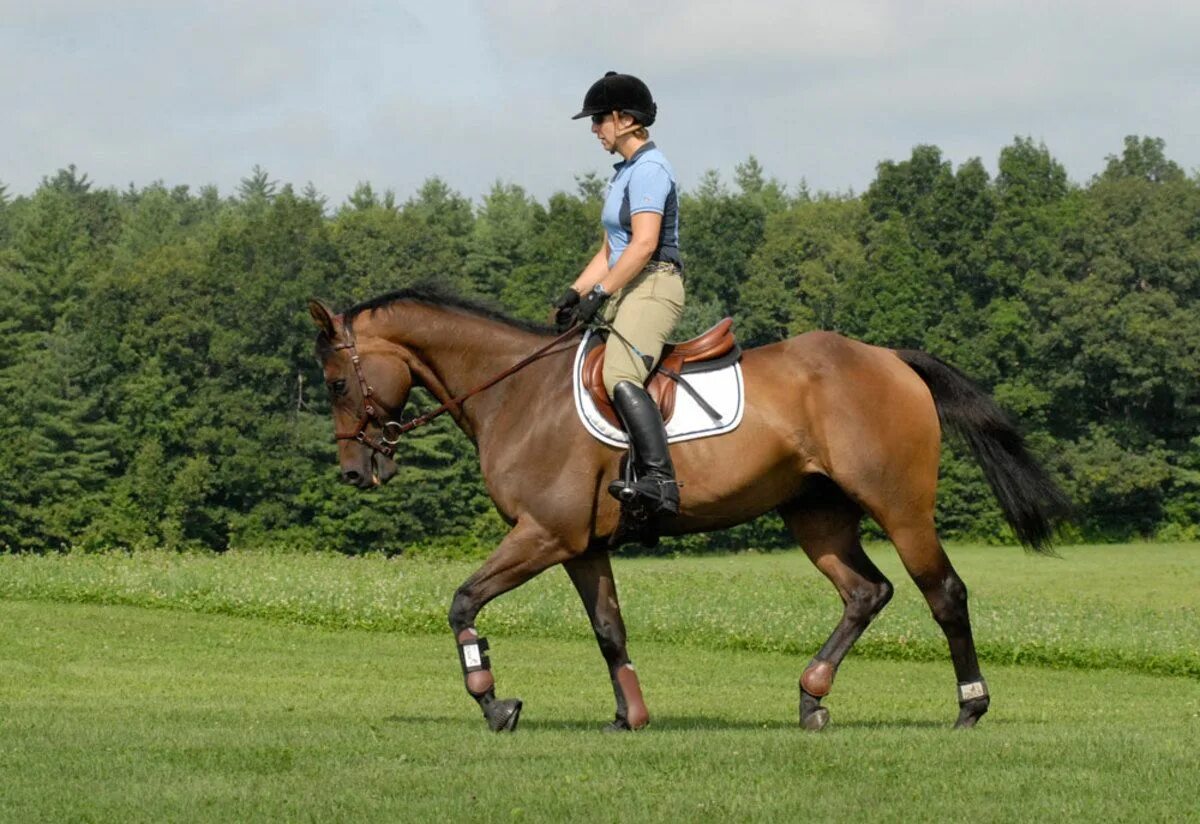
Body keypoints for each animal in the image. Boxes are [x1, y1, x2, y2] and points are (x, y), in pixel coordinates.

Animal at [309, 286, 1070, 734]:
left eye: (338, 382)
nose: (355, 471)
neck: (514, 393)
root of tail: (891, 358)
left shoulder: (544, 535)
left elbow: (463, 602)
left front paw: (495, 701)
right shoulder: (581, 546)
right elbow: (609, 629)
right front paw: (631, 716)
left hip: (900, 506)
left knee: (944, 593)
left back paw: (970, 706)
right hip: (815, 514)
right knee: (866, 592)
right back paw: (812, 696)